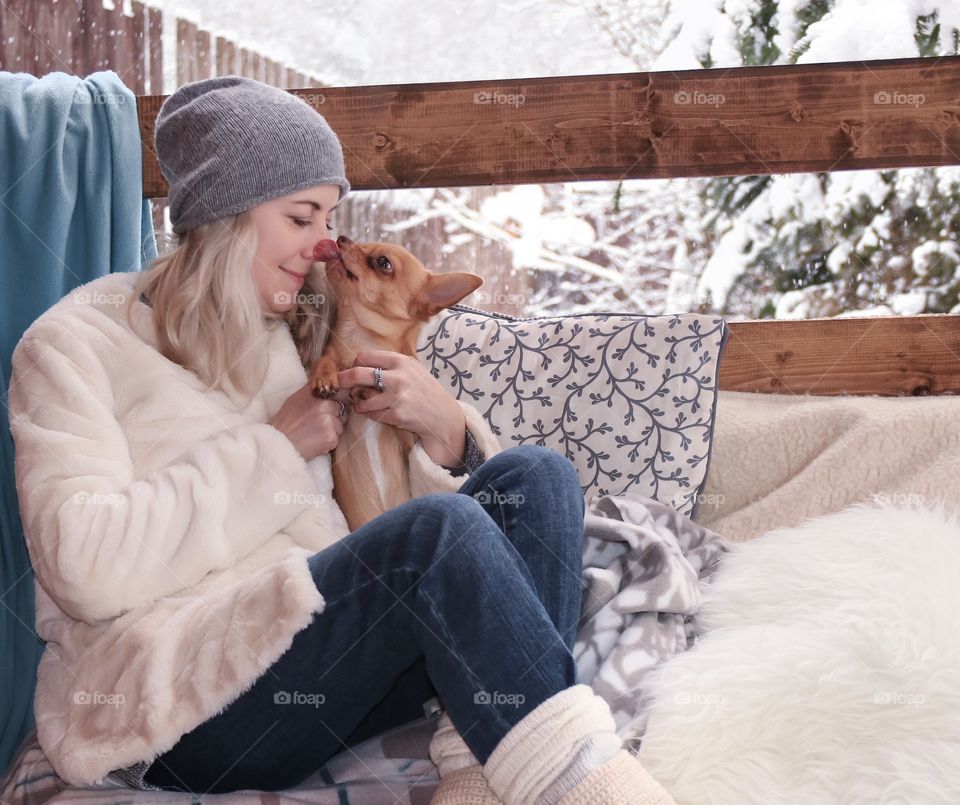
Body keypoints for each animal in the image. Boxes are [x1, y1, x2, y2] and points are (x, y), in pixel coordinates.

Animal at [306, 236, 480, 532]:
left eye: (383, 262)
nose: (342, 238)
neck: (359, 339)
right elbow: (327, 360)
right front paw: (324, 376)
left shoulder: (409, 438)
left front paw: (366, 387)